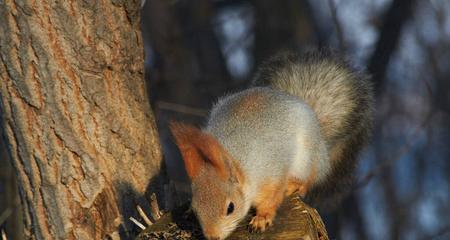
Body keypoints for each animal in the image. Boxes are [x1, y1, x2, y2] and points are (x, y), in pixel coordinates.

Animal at [169, 49, 372, 240]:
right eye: (196, 209)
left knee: (309, 180)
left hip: (306, 161)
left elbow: (271, 199)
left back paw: (294, 186)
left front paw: (262, 218)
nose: (213, 236)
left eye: (230, 208)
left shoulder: (272, 174)